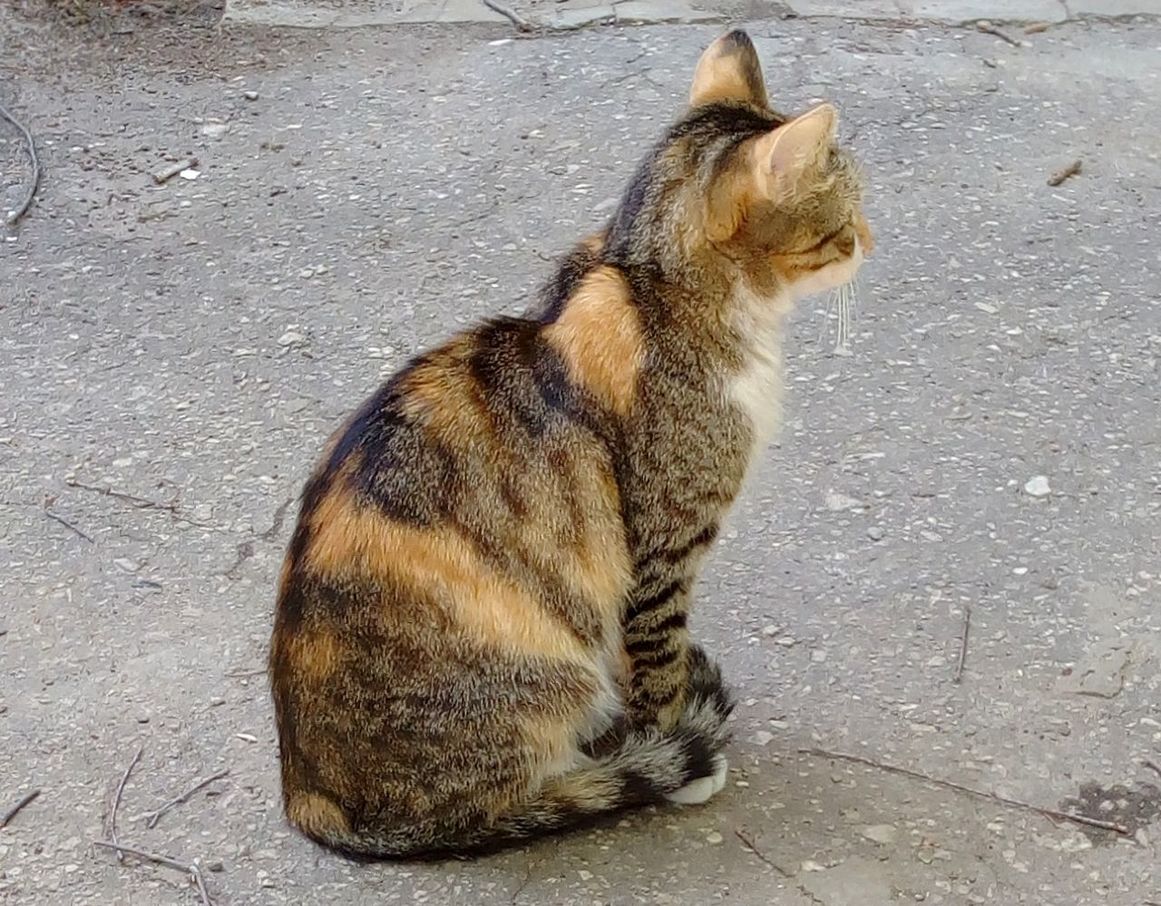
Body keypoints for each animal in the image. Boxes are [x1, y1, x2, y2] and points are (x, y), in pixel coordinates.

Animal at [269, 28, 873, 859]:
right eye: (845, 216)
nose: (872, 241)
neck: (651, 283)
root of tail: (309, 795)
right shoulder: (662, 547)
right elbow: (658, 663)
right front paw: (673, 755)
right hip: (540, 680)